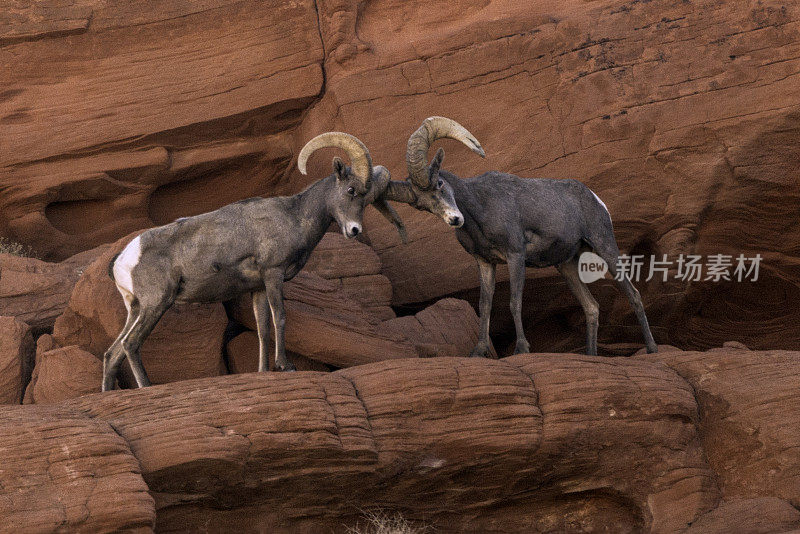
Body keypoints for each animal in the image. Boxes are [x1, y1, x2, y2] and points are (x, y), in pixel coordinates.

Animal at [103, 133, 404, 394]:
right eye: (351, 190)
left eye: (366, 199)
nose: (354, 230)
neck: (295, 217)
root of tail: (122, 260)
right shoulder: (273, 274)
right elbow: (280, 317)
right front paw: (285, 366)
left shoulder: (257, 288)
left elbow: (262, 328)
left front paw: (263, 370)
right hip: (157, 303)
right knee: (130, 344)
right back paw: (146, 387)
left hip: (136, 308)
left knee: (112, 352)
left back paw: (107, 393)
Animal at [380, 119, 656, 358]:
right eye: (422, 206)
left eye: (439, 183)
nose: (455, 220)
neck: (481, 206)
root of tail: (595, 199)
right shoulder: (485, 262)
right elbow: (485, 305)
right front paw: (479, 352)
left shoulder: (515, 255)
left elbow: (514, 301)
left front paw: (521, 349)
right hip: (566, 265)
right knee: (591, 307)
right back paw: (591, 355)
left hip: (604, 246)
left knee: (633, 294)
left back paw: (652, 349)